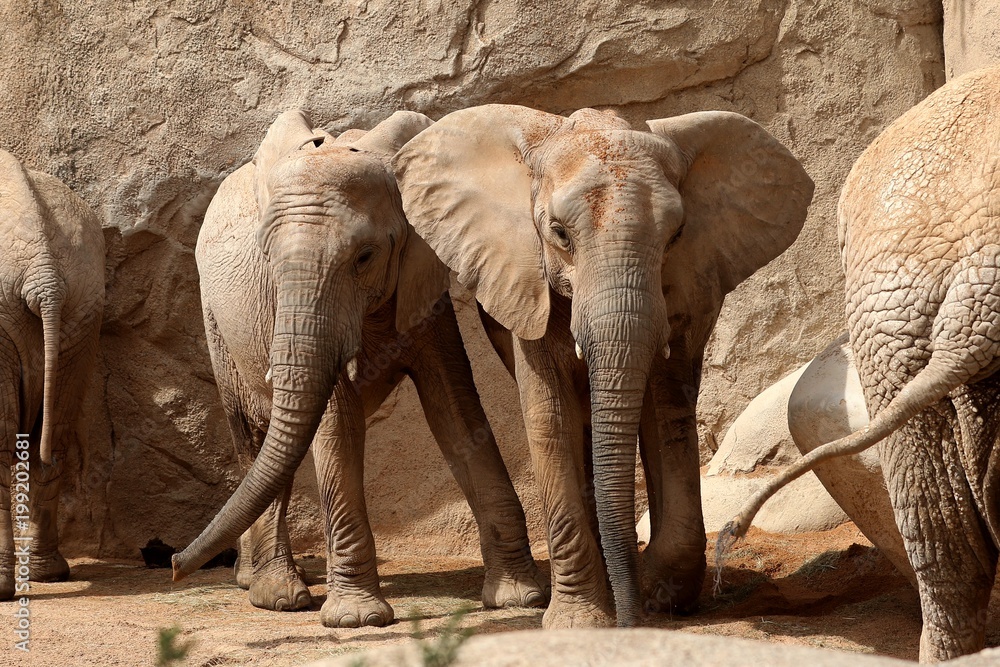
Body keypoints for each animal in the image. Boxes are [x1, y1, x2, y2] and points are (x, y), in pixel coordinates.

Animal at [170, 110, 547, 627]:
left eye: (364, 257)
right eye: (266, 258)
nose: (173, 564)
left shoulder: (420, 286)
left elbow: (455, 410)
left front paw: (518, 598)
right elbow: (336, 423)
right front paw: (357, 619)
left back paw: (255, 581)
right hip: (216, 322)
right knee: (255, 435)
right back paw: (277, 595)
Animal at [392, 104, 814, 627]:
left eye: (676, 235)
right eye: (558, 233)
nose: (631, 622)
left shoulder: (681, 289)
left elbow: (666, 411)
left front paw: (661, 597)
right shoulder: (528, 287)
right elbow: (550, 418)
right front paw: (580, 622)